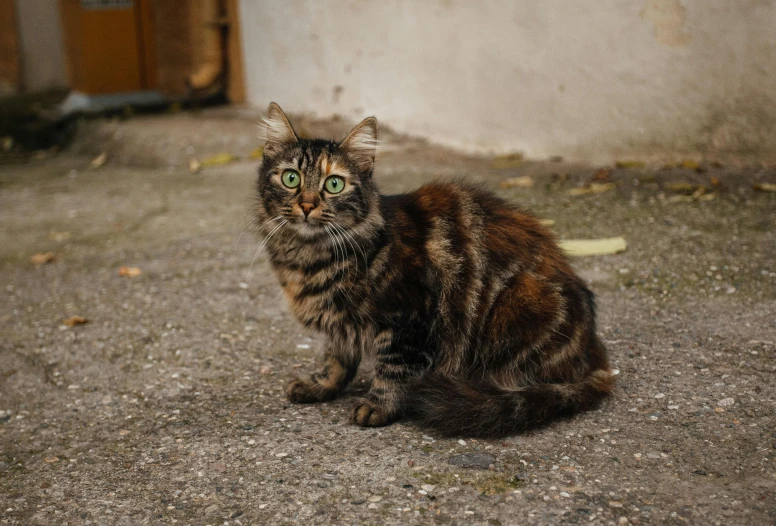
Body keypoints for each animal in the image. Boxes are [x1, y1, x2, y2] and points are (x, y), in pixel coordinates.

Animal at [255, 102, 612, 438]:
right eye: (291, 178)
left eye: (333, 184)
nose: (307, 204)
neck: (308, 257)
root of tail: (592, 351)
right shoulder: (341, 324)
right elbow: (336, 358)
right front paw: (321, 385)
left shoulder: (408, 319)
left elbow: (393, 369)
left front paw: (379, 406)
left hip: (518, 304)